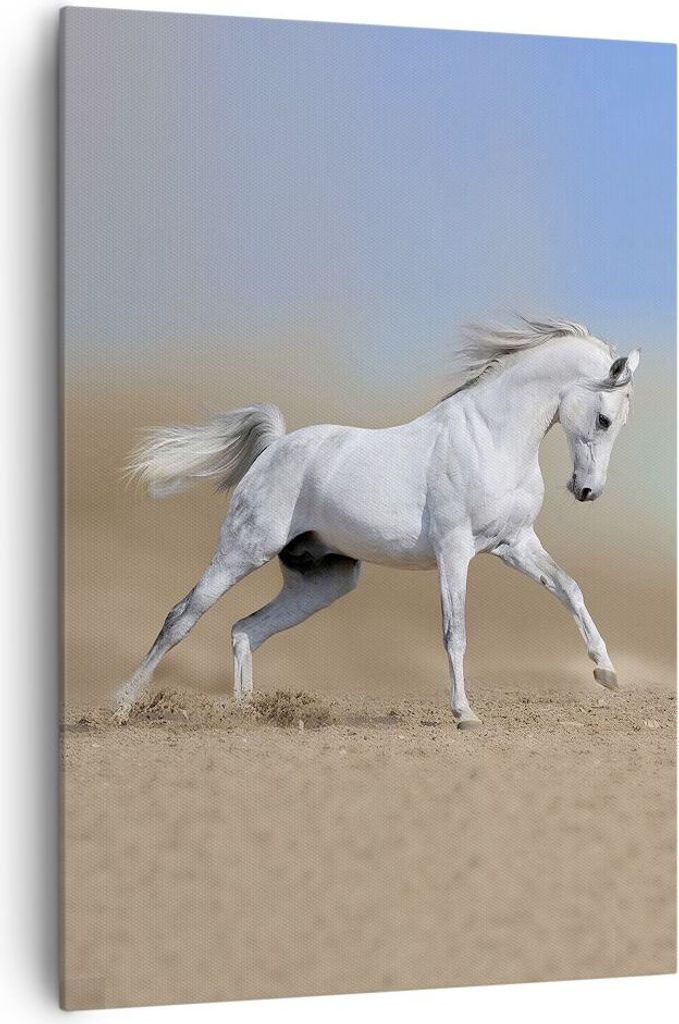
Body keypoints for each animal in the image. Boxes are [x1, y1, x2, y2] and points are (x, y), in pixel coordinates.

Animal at [113, 318, 640, 727]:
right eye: (605, 418)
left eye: (618, 422)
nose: (587, 490)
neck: (490, 438)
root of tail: (276, 446)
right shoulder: (455, 550)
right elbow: (455, 631)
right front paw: (464, 714)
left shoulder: (515, 543)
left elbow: (569, 588)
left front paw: (607, 673)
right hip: (243, 550)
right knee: (182, 616)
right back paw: (121, 706)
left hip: (324, 581)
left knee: (246, 630)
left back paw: (248, 715)